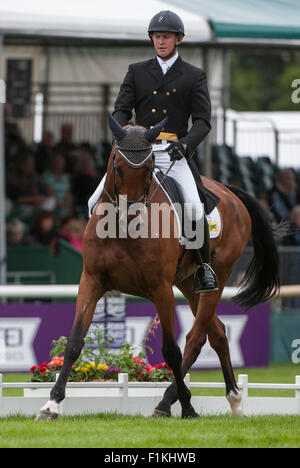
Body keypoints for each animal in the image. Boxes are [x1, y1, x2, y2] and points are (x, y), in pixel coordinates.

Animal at [36, 114, 280, 420]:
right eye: (117, 165)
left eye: (149, 168)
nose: (131, 215)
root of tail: (230, 192)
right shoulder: (91, 281)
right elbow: (74, 341)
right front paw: (51, 404)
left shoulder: (160, 289)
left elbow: (171, 350)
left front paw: (187, 407)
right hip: (187, 282)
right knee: (217, 333)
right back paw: (234, 399)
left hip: (218, 276)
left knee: (195, 337)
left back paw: (170, 401)